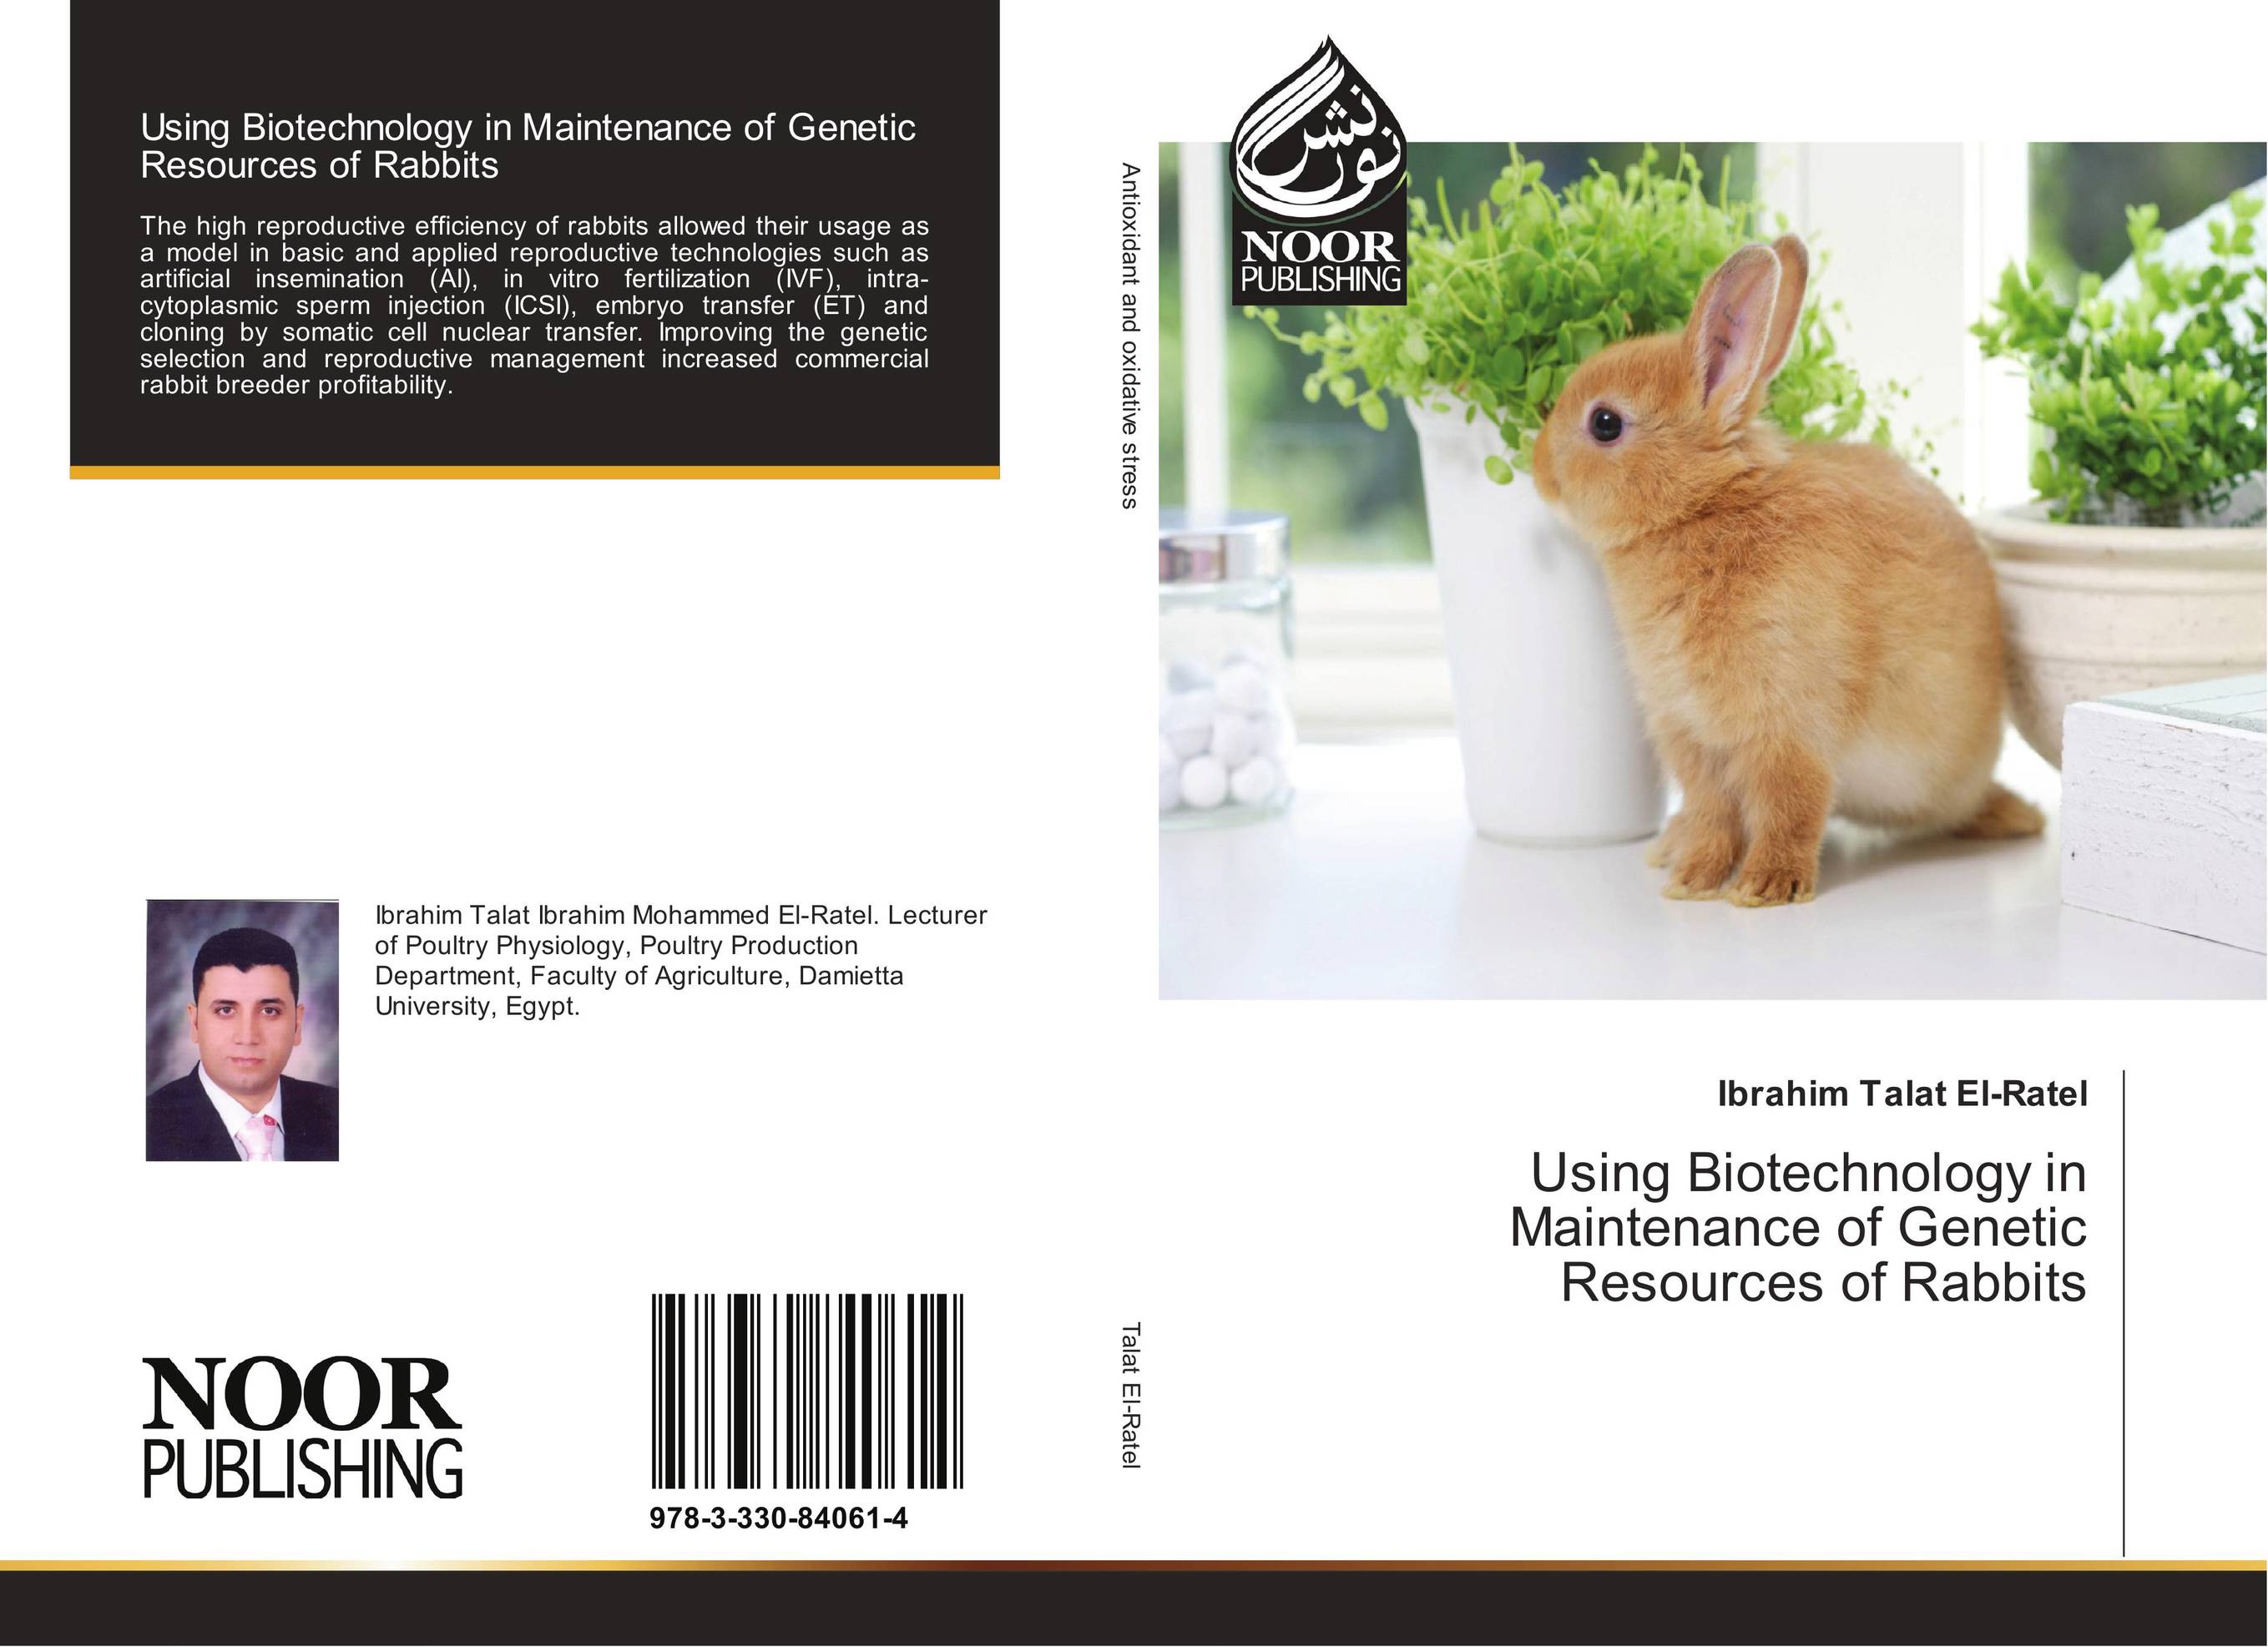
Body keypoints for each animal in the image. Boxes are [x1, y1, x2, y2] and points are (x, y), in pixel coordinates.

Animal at [1530, 234, 2042, 907]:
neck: (1702, 509)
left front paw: (1764, 888)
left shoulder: (1786, 727)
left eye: (1605, 423)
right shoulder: (1688, 733)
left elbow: (1789, 804)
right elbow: (1713, 812)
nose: (1537, 468)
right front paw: (1692, 880)